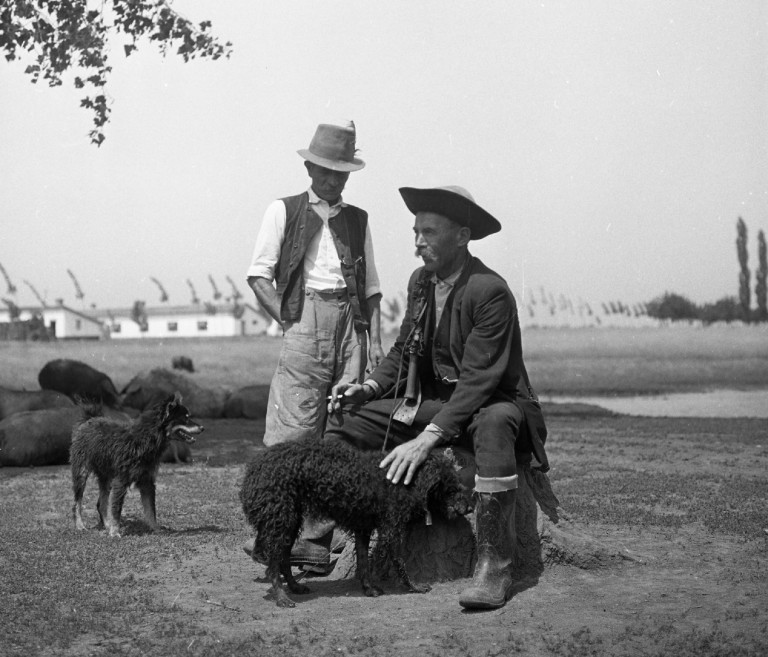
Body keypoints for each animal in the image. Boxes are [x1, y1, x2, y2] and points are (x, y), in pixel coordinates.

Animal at [70, 392, 202, 536]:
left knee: (101, 504)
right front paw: (115, 532)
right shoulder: (121, 480)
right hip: (81, 473)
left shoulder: (147, 481)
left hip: (106, 476)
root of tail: (89, 419)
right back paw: (80, 525)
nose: (202, 427)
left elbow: (151, 509)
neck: (146, 439)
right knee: (77, 503)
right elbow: (116, 508)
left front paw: (155, 528)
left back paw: (107, 525)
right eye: (186, 418)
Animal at [240, 438, 474, 608]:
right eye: (451, 488)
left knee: (283, 559)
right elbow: (400, 563)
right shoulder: (390, 531)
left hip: (289, 522)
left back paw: (295, 587)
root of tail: (253, 470)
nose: (469, 508)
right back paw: (282, 598)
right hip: (280, 521)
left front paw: (368, 589)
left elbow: (363, 562)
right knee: (273, 565)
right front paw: (414, 587)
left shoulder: (363, 529)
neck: (407, 479)